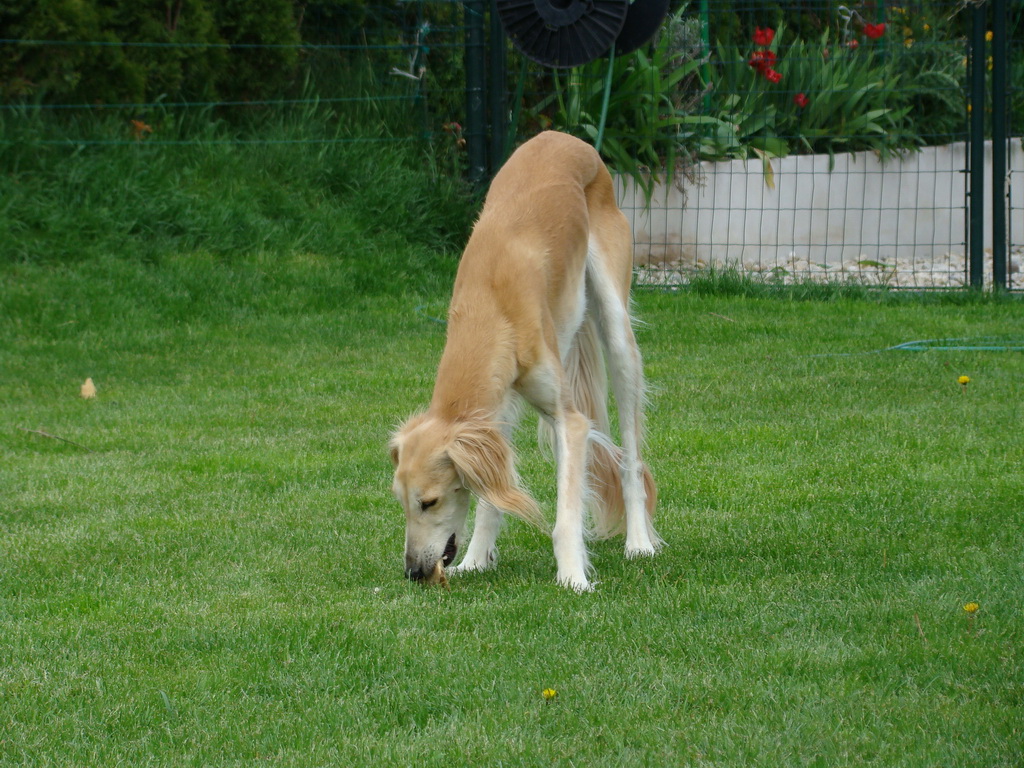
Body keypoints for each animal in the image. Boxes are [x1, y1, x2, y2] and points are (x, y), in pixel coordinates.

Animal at [387, 129, 659, 593]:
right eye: (402, 501)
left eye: (429, 501)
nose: (414, 572)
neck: (490, 304)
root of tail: (566, 137)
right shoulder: (492, 415)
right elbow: (491, 496)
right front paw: (477, 560)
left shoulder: (570, 420)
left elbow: (565, 516)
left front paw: (572, 576)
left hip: (618, 333)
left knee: (631, 456)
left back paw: (638, 540)